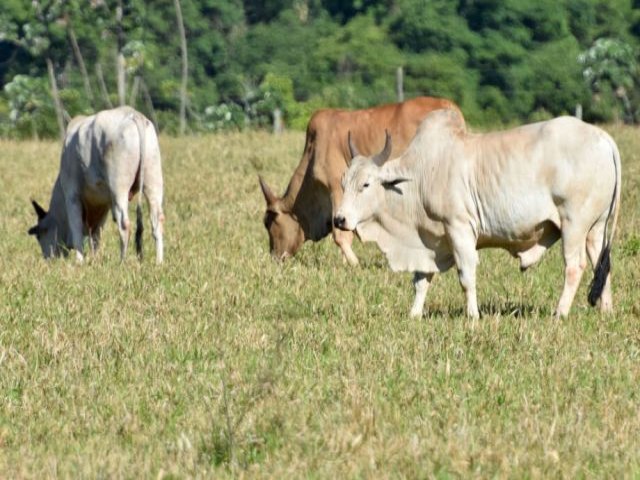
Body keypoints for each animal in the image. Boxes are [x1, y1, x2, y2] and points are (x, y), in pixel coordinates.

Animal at [28, 106, 164, 262]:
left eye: (39, 235)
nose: (48, 259)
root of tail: (135, 115)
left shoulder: (72, 196)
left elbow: (77, 229)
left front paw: (79, 261)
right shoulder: (103, 204)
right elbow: (96, 235)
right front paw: (95, 258)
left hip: (119, 188)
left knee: (124, 225)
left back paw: (122, 261)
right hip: (153, 181)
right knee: (157, 220)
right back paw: (159, 262)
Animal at [258, 95, 460, 264]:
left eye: (269, 222)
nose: (274, 257)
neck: (312, 150)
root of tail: (449, 108)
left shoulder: (337, 188)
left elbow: (341, 234)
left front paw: (354, 264)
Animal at [336, 109, 620, 318]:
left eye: (366, 184)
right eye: (343, 183)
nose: (339, 219)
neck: (420, 177)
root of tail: (603, 138)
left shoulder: (458, 228)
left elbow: (466, 276)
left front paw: (472, 316)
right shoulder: (430, 241)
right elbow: (421, 279)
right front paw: (414, 315)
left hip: (573, 225)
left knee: (575, 266)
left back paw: (560, 313)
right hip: (596, 229)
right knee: (600, 263)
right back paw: (606, 311)